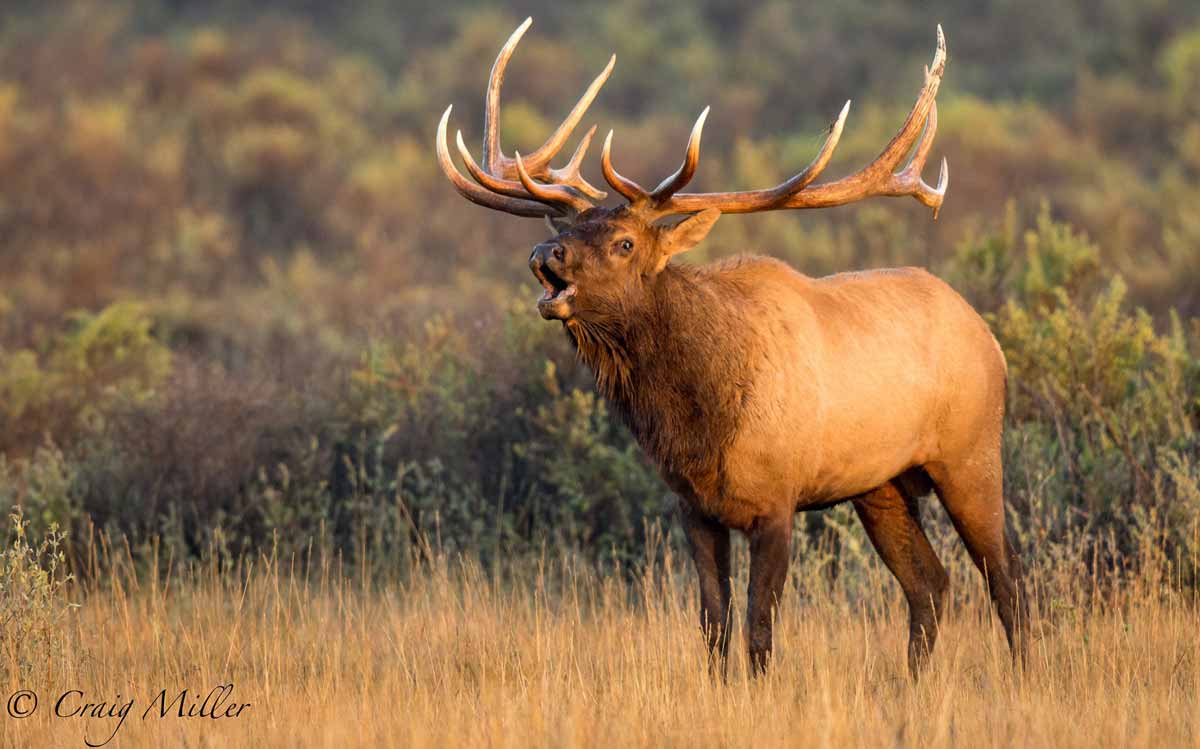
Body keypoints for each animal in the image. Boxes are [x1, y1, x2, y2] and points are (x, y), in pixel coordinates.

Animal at [436, 19, 1027, 676]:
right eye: (568, 230)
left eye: (623, 243)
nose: (545, 254)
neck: (700, 422)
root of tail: (989, 337)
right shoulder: (693, 507)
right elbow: (713, 624)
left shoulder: (777, 502)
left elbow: (758, 628)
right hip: (882, 485)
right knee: (930, 583)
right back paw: (914, 683)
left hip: (971, 453)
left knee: (1008, 577)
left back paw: (1022, 673)